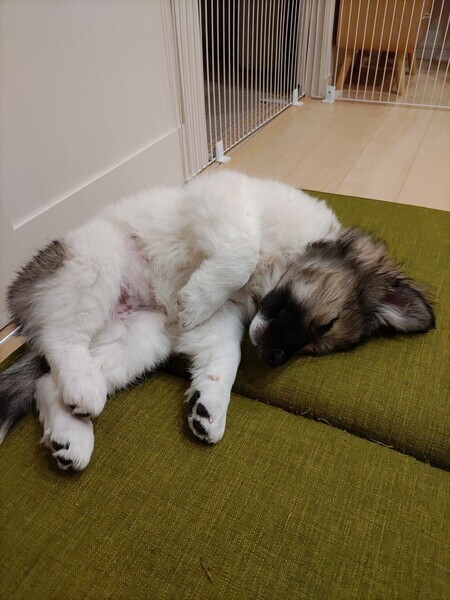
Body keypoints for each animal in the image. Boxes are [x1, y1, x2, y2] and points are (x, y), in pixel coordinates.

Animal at [0, 171, 435, 470]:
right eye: (325, 323)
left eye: (318, 344)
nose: (274, 359)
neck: (279, 260)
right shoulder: (225, 199)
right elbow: (241, 249)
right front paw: (193, 301)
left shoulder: (225, 316)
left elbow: (225, 357)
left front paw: (210, 406)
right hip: (93, 264)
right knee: (62, 338)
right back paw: (82, 386)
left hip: (140, 337)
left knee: (45, 383)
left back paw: (71, 436)